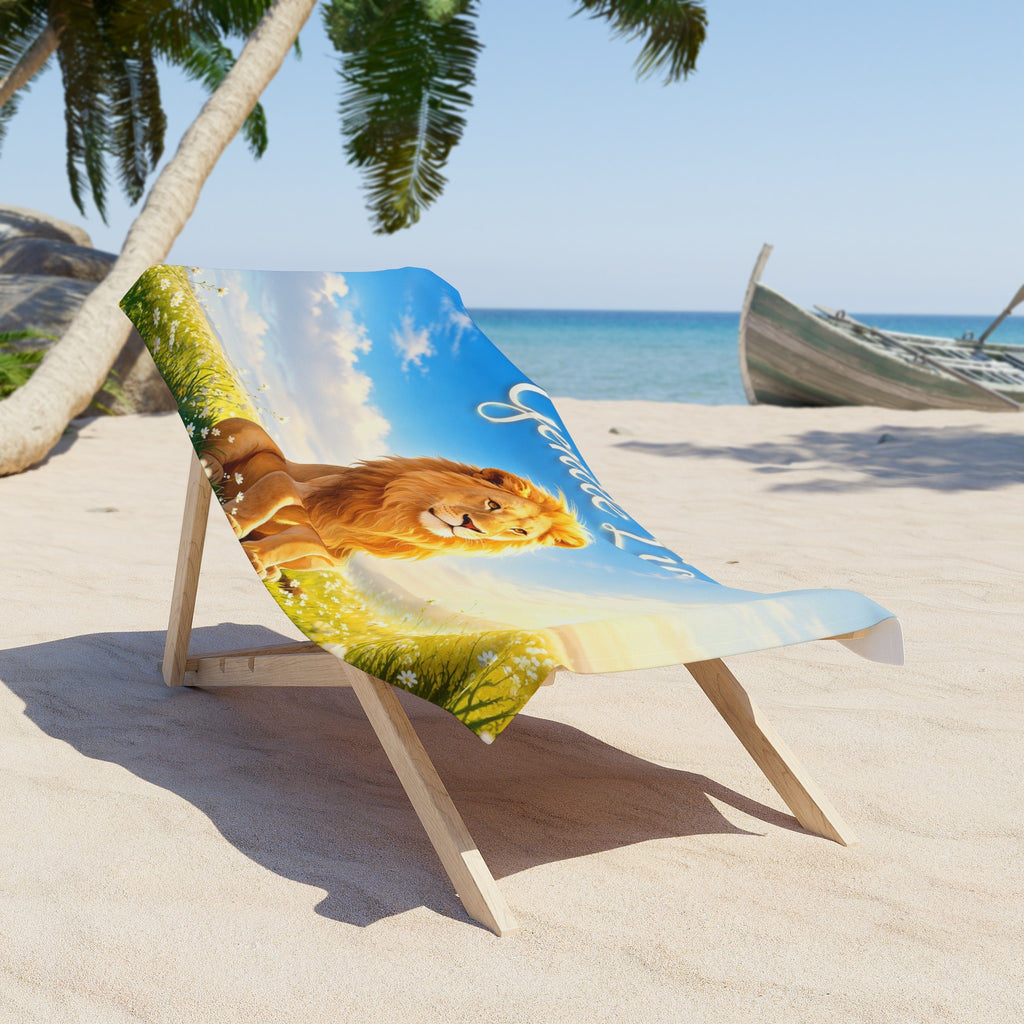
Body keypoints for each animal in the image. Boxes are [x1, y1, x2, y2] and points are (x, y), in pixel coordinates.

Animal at [199, 417, 590, 581]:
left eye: (517, 532)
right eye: (493, 504)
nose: (472, 528)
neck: (392, 516)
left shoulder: (331, 548)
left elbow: (290, 543)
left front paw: (258, 557)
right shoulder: (298, 486)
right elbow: (273, 489)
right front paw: (235, 522)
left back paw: (272, 570)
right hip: (247, 433)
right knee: (217, 446)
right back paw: (211, 467)